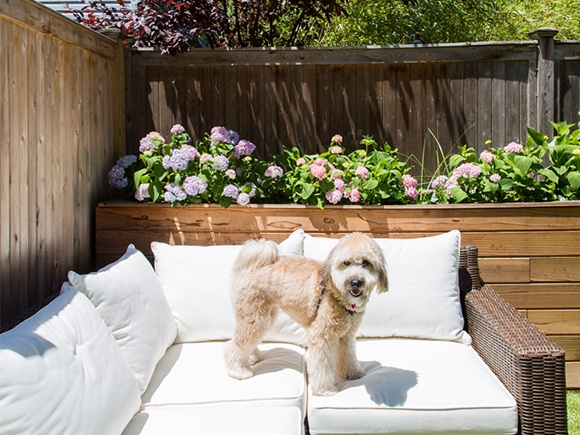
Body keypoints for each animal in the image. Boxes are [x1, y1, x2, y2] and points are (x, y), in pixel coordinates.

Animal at [224, 233, 388, 396]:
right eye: (346, 263)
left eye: (366, 263)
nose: (355, 282)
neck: (335, 292)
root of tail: (254, 265)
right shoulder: (321, 335)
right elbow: (322, 366)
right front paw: (324, 389)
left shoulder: (346, 336)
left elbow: (348, 356)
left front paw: (352, 373)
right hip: (254, 316)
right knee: (236, 345)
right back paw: (237, 370)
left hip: (263, 316)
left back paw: (251, 358)